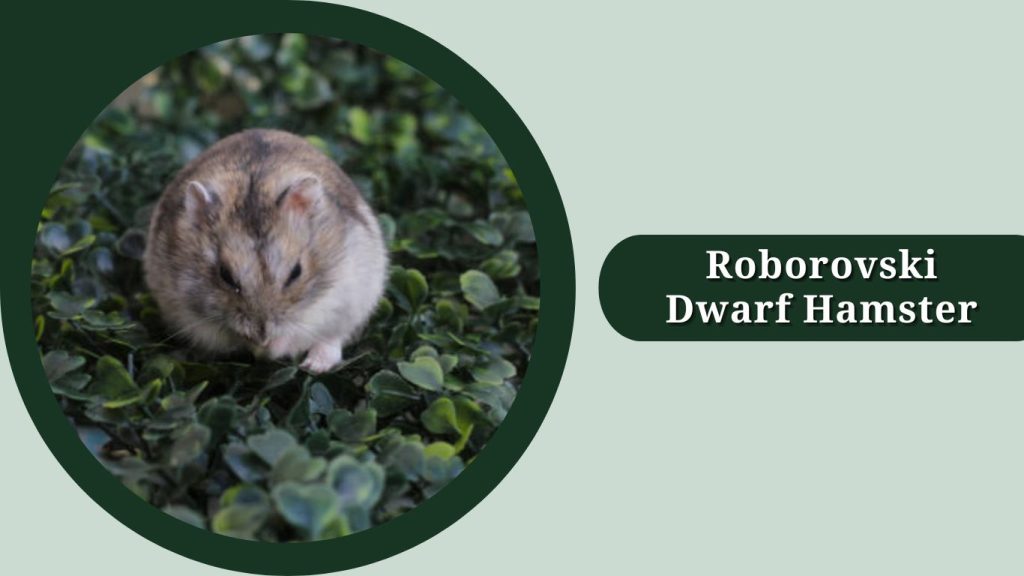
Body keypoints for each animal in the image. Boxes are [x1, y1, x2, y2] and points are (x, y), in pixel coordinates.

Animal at [143, 129, 388, 373]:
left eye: (296, 272)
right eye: (225, 275)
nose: (262, 337)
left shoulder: (333, 298)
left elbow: (300, 331)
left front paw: (272, 350)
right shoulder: (189, 313)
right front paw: (258, 348)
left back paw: (314, 366)